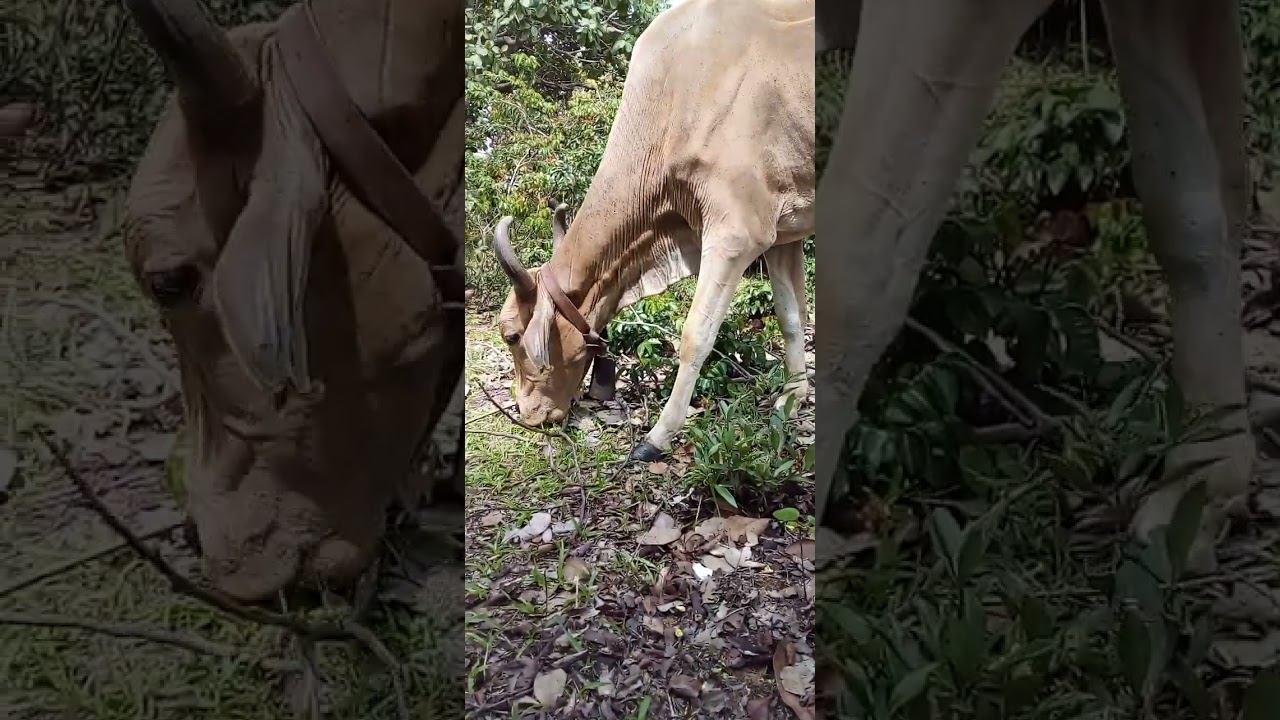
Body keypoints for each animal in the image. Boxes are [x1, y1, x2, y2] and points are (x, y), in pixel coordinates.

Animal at [491, 0, 815, 462]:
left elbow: (695, 337)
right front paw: (793, 397)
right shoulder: (783, 233)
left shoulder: (736, 235)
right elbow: (791, 316)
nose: (530, 415)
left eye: (512, 335)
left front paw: (658, 436)